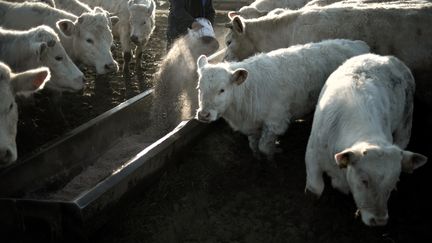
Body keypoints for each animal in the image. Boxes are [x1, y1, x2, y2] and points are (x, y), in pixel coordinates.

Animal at [196, 39, 368, 160]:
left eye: (222, 90)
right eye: (199, 88)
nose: (203, 115)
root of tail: (358, 44)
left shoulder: (276, 121)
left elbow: (264, 146)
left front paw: (274, 154)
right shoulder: (251, 125)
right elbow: (254, 145)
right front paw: (258, 158)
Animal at [306, 53, 426, 226]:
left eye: (394, 183)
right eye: (364, 180)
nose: (380, 220)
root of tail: (386, 57)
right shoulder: (312, 153)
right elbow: (315, 189)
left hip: (406, 122)